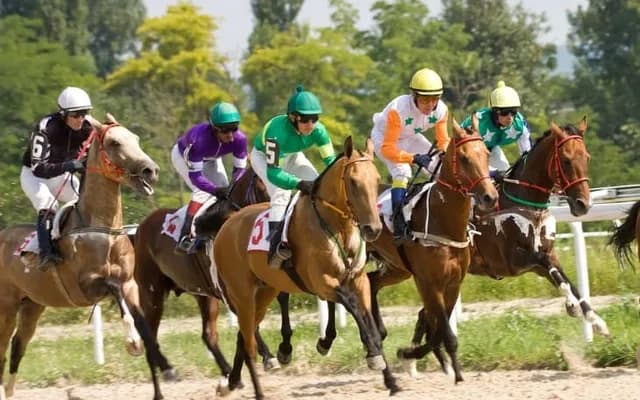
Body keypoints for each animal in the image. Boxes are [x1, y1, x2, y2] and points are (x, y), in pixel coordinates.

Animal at [0, 114, 162, 400]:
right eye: (115, 142)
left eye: (136, 138)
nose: (150, 170)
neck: (103, 231)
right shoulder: (84, 287)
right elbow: (113, 287)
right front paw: (132, 341)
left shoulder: (130, 282)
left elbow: (138, 312)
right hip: (6, 306)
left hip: (32, 304)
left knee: (19, 344)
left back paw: (9, 390)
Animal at [133, 167, 270, 399]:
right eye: (261, 186)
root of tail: (141, 227)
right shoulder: (230, 291)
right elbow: (249, 326)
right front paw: (268, 356)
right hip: (152, 294)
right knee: (150, 338)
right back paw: (163, 382)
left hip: (203, 294)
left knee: (208, 335)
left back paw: (228, 373)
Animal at [212, 136, 399, 399]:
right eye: (353, 182)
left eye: (375, 179)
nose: (373, 229)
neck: (336, 227)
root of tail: (227, 225)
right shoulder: (322, 283)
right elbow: (351, 304)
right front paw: (370, 354)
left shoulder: (359, 280)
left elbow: (369, 324)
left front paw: (390, 379)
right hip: (242, 294)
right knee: (248, 342)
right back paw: (257, 389)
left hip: (264, 292)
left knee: (243, 335)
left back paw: (231, 382)